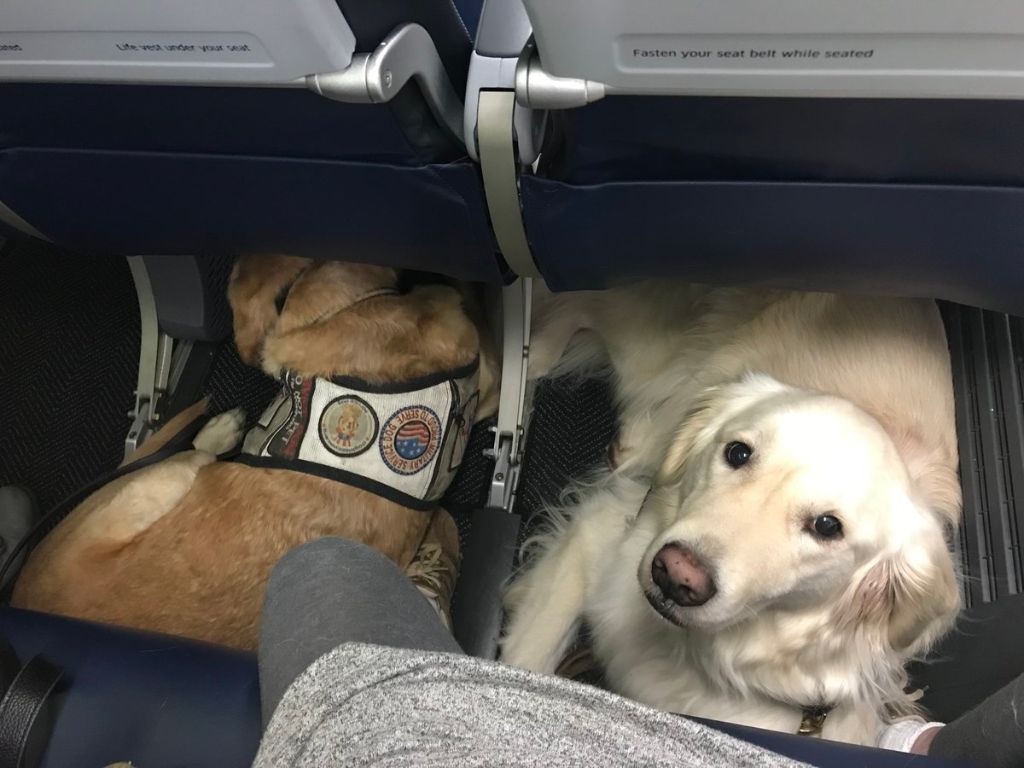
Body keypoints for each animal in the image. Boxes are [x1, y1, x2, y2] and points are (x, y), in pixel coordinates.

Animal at [503, 282, 958, 745]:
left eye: (827, 526)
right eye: (737, 452)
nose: (677, 576)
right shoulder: (600, 531)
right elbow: (527, 659)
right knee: (581, 304)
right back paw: (531, 356)